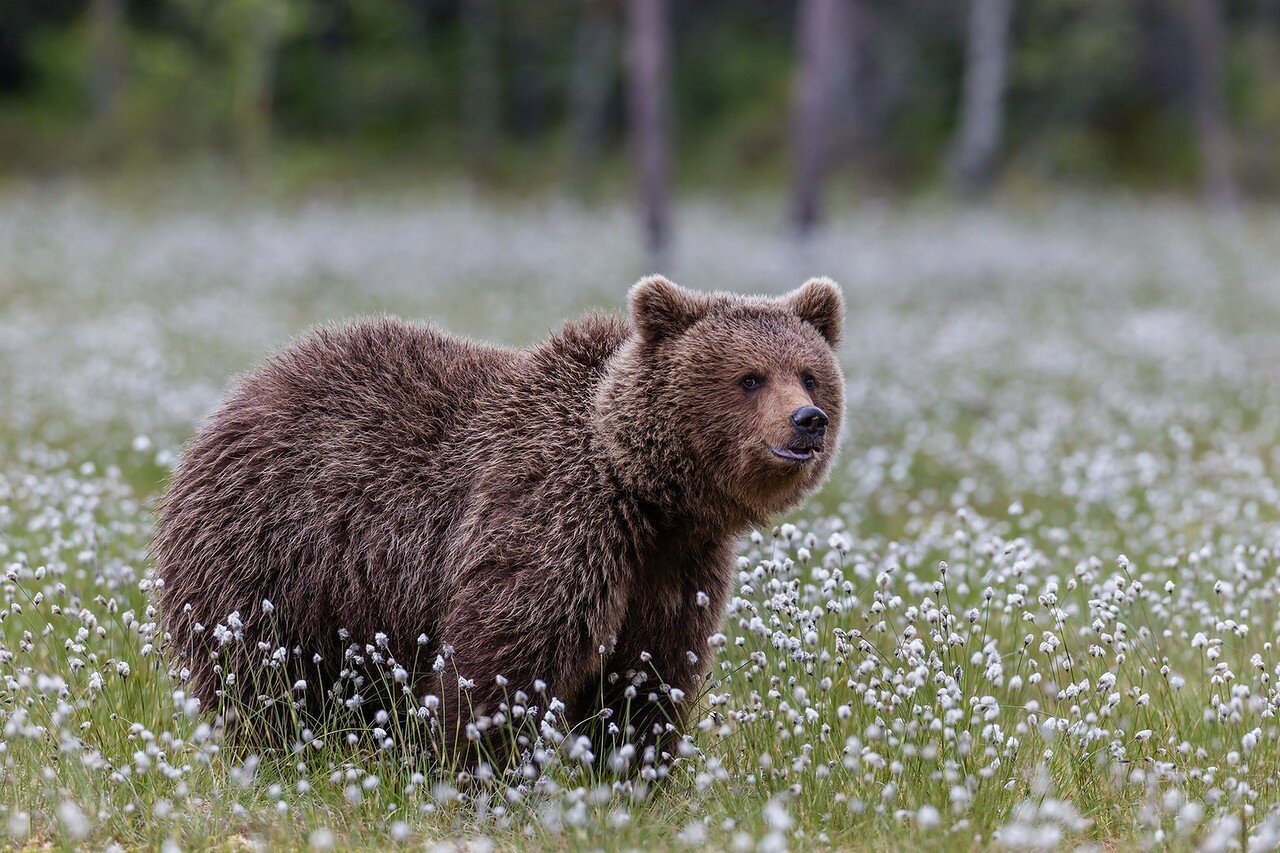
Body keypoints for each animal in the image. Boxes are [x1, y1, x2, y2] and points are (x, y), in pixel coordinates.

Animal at [152, 275, 839, 758]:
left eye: (809, 374)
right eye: (750, 378)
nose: (808, 421)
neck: (644, 496)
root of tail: (239, 396)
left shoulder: (674, 569)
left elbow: (648, 677)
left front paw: (635, 775)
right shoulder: (552, 519)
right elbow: (505, 659)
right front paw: (480, 768)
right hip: (277, 554)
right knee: (259, 674)